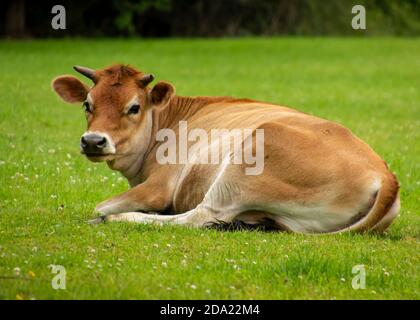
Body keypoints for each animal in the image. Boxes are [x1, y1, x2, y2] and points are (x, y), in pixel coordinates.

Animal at [52, 63, 400, 234]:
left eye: (134, 107)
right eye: (87, 104)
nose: (93, 140)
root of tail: (386, 176)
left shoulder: (159, 186)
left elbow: (101, 206)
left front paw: (111, 213)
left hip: (246, 163)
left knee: (200, 216)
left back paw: (120, 220)